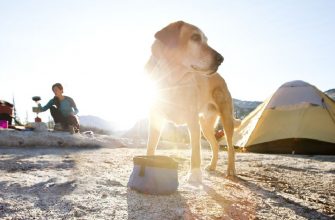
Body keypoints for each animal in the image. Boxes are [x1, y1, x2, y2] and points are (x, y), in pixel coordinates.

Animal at [146, 21, 240, 182]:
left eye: (206, 40)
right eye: (195, 37)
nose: (221, 59)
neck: (173, 80)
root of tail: (221, 78)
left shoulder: (192, 121)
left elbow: (195, 152)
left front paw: (195, 175)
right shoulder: (156, 118)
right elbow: (150, 147)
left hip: (226, 120)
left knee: (230, 147)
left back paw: (231, 170)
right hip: (205, 125)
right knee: (215, 146)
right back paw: (212, 166)